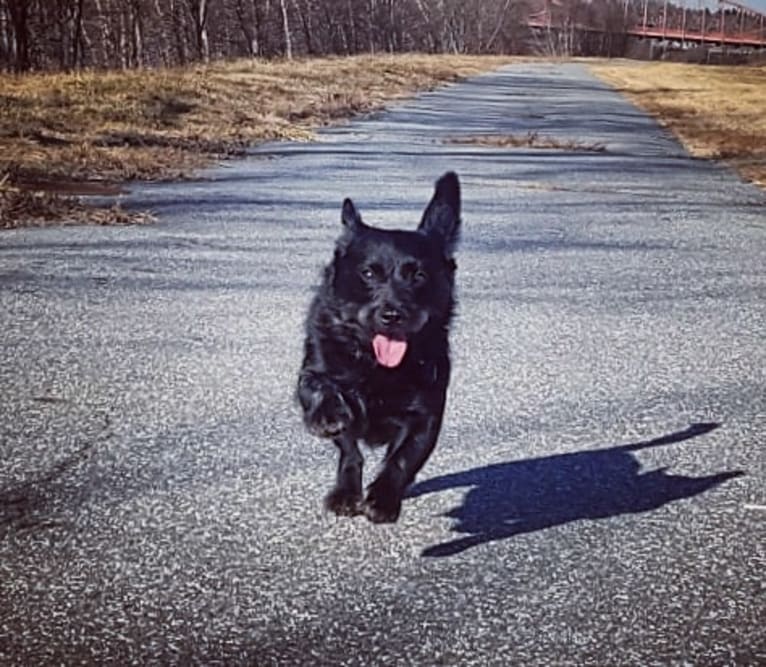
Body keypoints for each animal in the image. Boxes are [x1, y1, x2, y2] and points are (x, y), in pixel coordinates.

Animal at [296, 171, 460, 520]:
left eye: (419, 276)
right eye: (369, 273)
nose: (392, 315)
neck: (375, 363)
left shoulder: (426, 414)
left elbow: (402, 459)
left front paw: (383, 497)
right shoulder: (314, 369)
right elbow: (322, 392)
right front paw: (328, 414)